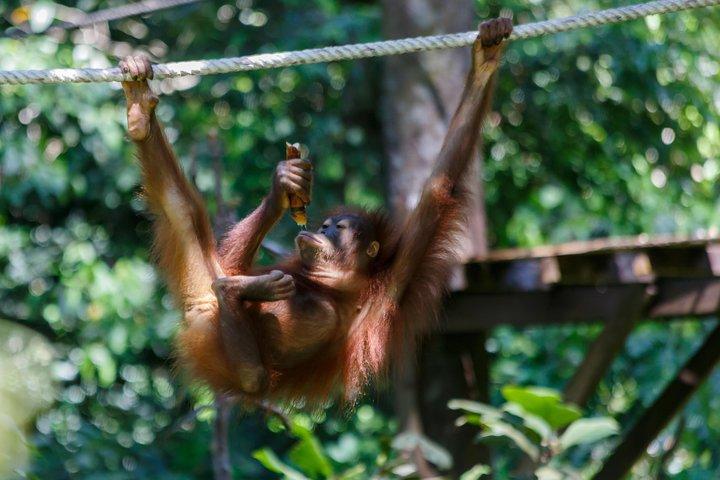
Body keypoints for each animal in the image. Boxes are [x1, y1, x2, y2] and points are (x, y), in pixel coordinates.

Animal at [119, 17, 512, 407]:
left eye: (337, 228)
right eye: (324, 225)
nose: (321, 231)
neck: (341, 281)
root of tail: (201, 311)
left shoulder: (396, 280)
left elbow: (439, 188)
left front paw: (486, 59)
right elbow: (231, 261)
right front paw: (284, 186)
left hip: (221, 333)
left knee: (253, 374)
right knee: (185, 213)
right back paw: (140, 112)